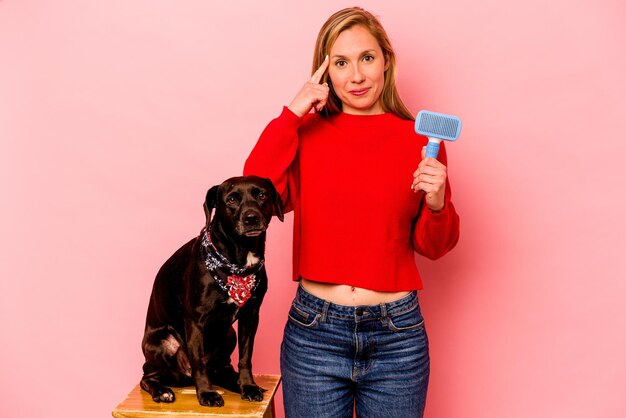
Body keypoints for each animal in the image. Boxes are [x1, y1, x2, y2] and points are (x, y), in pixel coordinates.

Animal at [140, 175, 282, 406]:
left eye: (261, 195)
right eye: (231, 199)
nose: (251, 217)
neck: (237, 263)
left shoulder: (250, 317)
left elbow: (245, 357)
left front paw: (248, 386)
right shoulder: (195, 320)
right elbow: (199, 363)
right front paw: (206, 393)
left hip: (229, 334)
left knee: (221, 369)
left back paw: (235, 382)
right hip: (161, 343)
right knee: (147, 377)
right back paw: (161, 391)